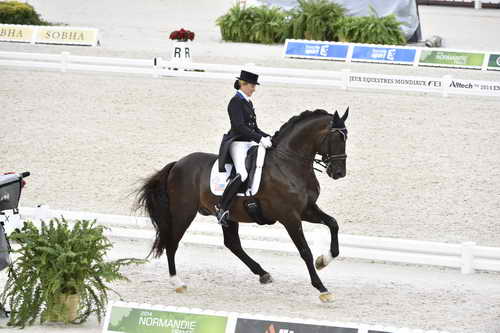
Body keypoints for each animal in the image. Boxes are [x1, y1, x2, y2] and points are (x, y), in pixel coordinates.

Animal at [136, 108, 348, 300]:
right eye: (337, 138)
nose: (339, 173)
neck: (288, 163)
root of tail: (177, 164)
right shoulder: (289, 216)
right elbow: (305, 251)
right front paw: (322, 289)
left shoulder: (306, 210)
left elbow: (333, 224)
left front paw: (324, 261)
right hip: (183, 213)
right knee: (172, 243)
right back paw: (177, 283)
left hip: (229, 216)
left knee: (232, 244)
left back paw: (263, 274)